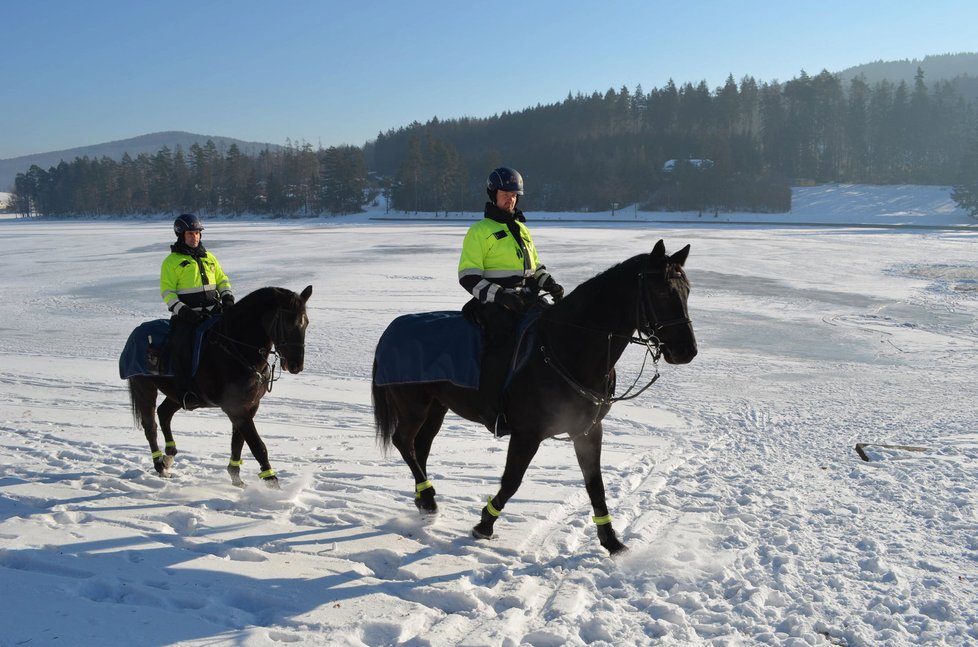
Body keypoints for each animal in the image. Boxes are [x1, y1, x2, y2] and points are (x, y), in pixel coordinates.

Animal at [125, 286, 308, 488]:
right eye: (287, 324)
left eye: (305, 323)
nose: (296, 365)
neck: (236, 349)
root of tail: (135, 333)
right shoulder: (235, 409)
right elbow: (257, 446)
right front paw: (272, 484)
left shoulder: (249, 406)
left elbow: (238, 442)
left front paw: (236, 477)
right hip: (144, 388)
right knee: (150, 426)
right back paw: (160, 465)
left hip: (178, 396)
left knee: (164, 413)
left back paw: (168, 458)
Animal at [370, 240, 696, 556]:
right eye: (661, 291)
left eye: (687, 290)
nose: (687, 351)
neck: (568, 347)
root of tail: (391, 329)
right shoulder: (527, 433)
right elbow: (512, 480)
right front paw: (484, 524)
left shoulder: (587, 431)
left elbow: (595, 485)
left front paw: (612, 542)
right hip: (413, 404)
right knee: (404, 442)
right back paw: (428, 499)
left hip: (437, 406)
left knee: (421, 446)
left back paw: (423, 498)